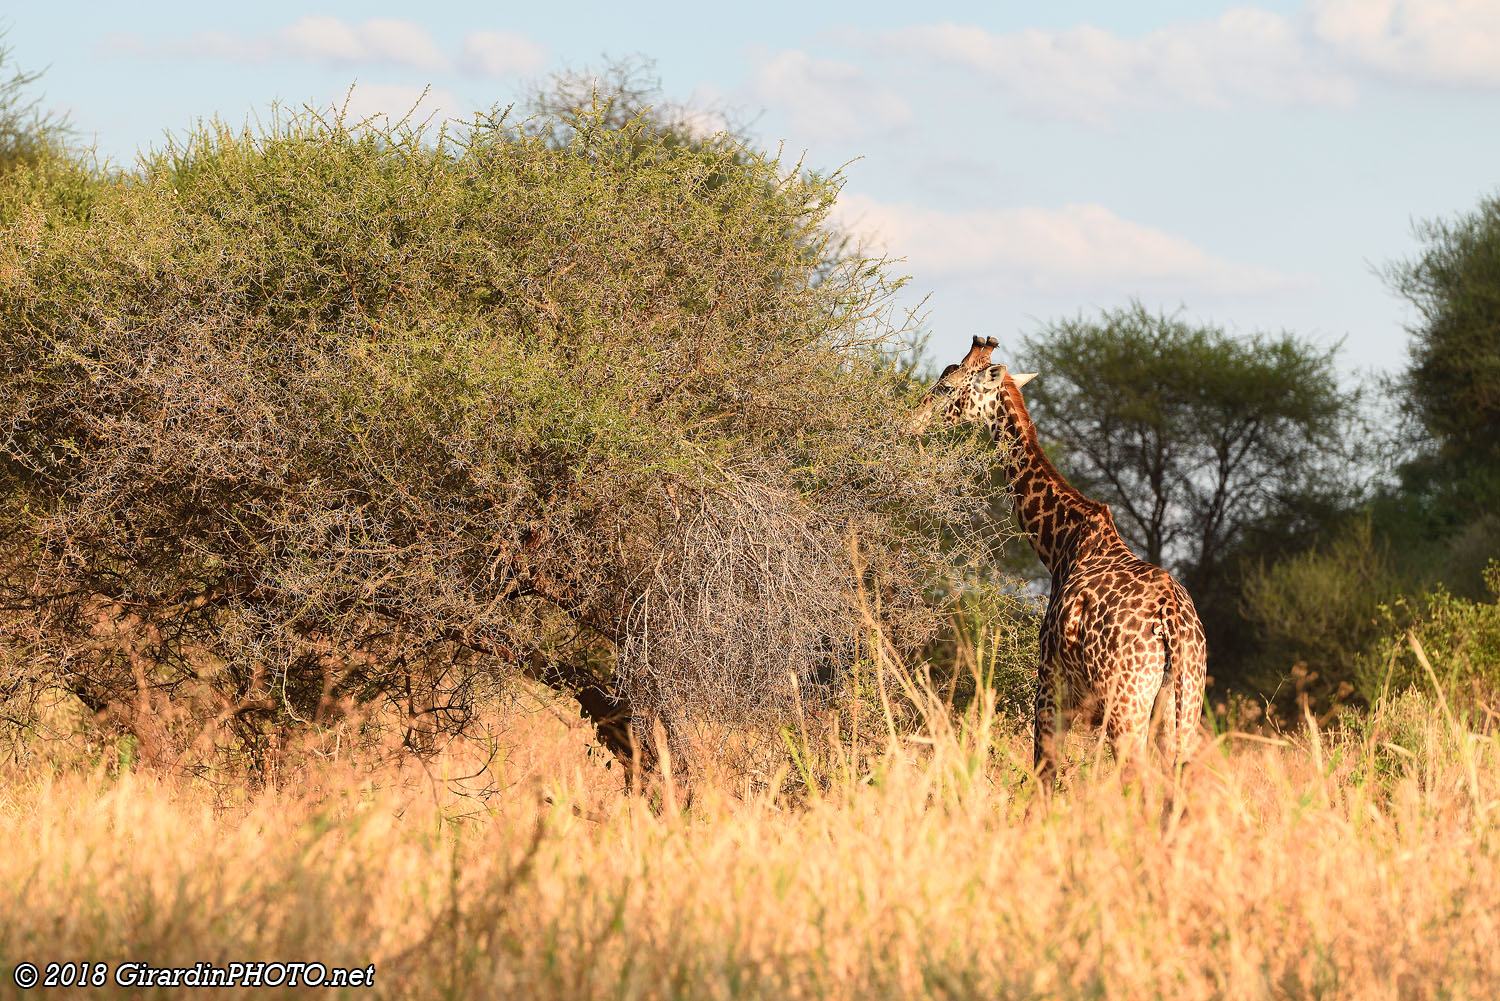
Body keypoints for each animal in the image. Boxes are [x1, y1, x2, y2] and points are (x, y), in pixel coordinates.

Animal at [906, 336, 1207, 784]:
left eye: (946, 386)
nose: (911, 421)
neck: (1062, 543)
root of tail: (1172, 624)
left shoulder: (1049, 683)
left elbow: (1044, 774)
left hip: (1127, 703)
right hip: (1183, 704)